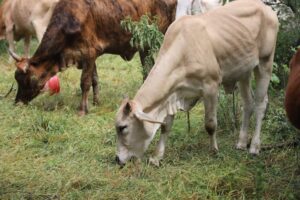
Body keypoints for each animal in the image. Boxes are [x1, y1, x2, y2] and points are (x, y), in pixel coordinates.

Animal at [10, 0, 177, 115]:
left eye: (26, 79)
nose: (17, 102)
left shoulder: (89, 52)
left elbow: (85, 82)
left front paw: (82, 110)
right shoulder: (88, 57)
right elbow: (94, 79)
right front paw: (96, 102)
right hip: (144, 47)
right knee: (148, 70)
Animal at [115, 0, 278, 166]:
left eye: (122, 127)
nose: (117, 159)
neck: (183, 50)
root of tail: (265, 8)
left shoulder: (211, 87)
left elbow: (210, 124)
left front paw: (214, 150)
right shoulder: (172, 93)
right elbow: (166, 126)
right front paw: (156, 157)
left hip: (265, 62)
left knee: (260, 104)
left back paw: (254, 146)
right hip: (243, 71)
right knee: (248, 103)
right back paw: (241, 143)